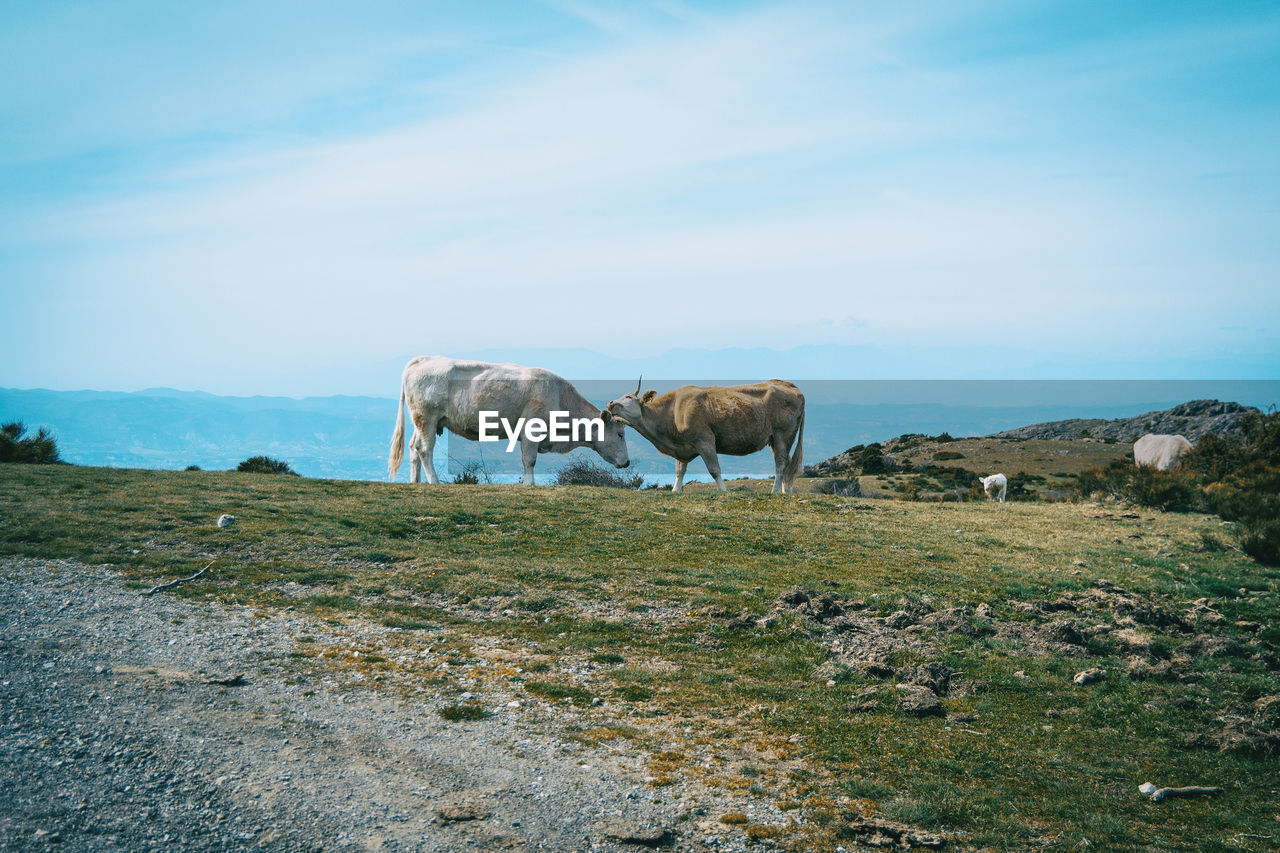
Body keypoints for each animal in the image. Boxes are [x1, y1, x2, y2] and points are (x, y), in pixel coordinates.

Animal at [389, 353, 629, 484]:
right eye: (620, 434)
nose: (627, 462)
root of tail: (423, 359)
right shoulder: (531, 430)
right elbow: (529, 460)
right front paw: (530, 484)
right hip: (427, 418)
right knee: (424, 449)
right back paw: (435, 481)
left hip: (423, 421)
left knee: (413, 447)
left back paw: (415, 481)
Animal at [606, 379, 803, 491]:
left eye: (629, 397)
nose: (610, 403)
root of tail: (789, 385)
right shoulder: (682, 447)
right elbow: (679, 471)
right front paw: (675, 491)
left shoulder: (704, 440)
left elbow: (714, 469)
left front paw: (723, 491)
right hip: (776, 439)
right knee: (786, 463)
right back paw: (785, 491)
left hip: (782, 435)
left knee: (780, 464)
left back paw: (775, 491)